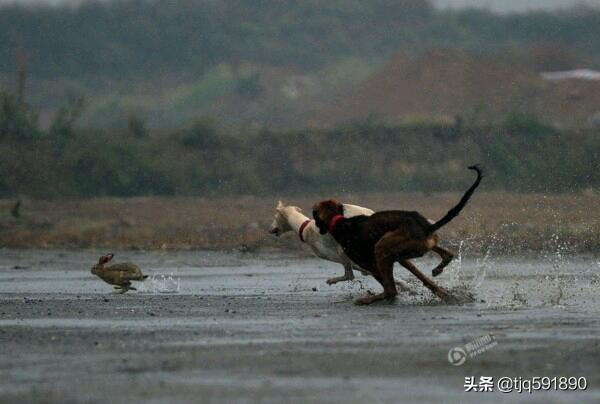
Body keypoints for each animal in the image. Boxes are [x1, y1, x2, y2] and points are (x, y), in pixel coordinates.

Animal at [272, 200, 412, 288]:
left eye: (275, 217)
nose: (270, 229)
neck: (306, 228)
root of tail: (370, 214)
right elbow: (366, 271)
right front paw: (405, 285)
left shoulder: (339, 255)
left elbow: (353, 274)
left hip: (344, 249)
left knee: (349, 275)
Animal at [312, 164, 480, 304]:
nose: (318, 229)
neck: (339, 222)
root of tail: (427, 227)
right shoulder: (400, 259)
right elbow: (423, 279)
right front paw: (443, 293)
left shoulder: (371, 264)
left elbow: (388, 285)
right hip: (405, 247)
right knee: (446, 256)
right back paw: (441, 279)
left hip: (382, 247)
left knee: (391, 290)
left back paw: (368, 300)